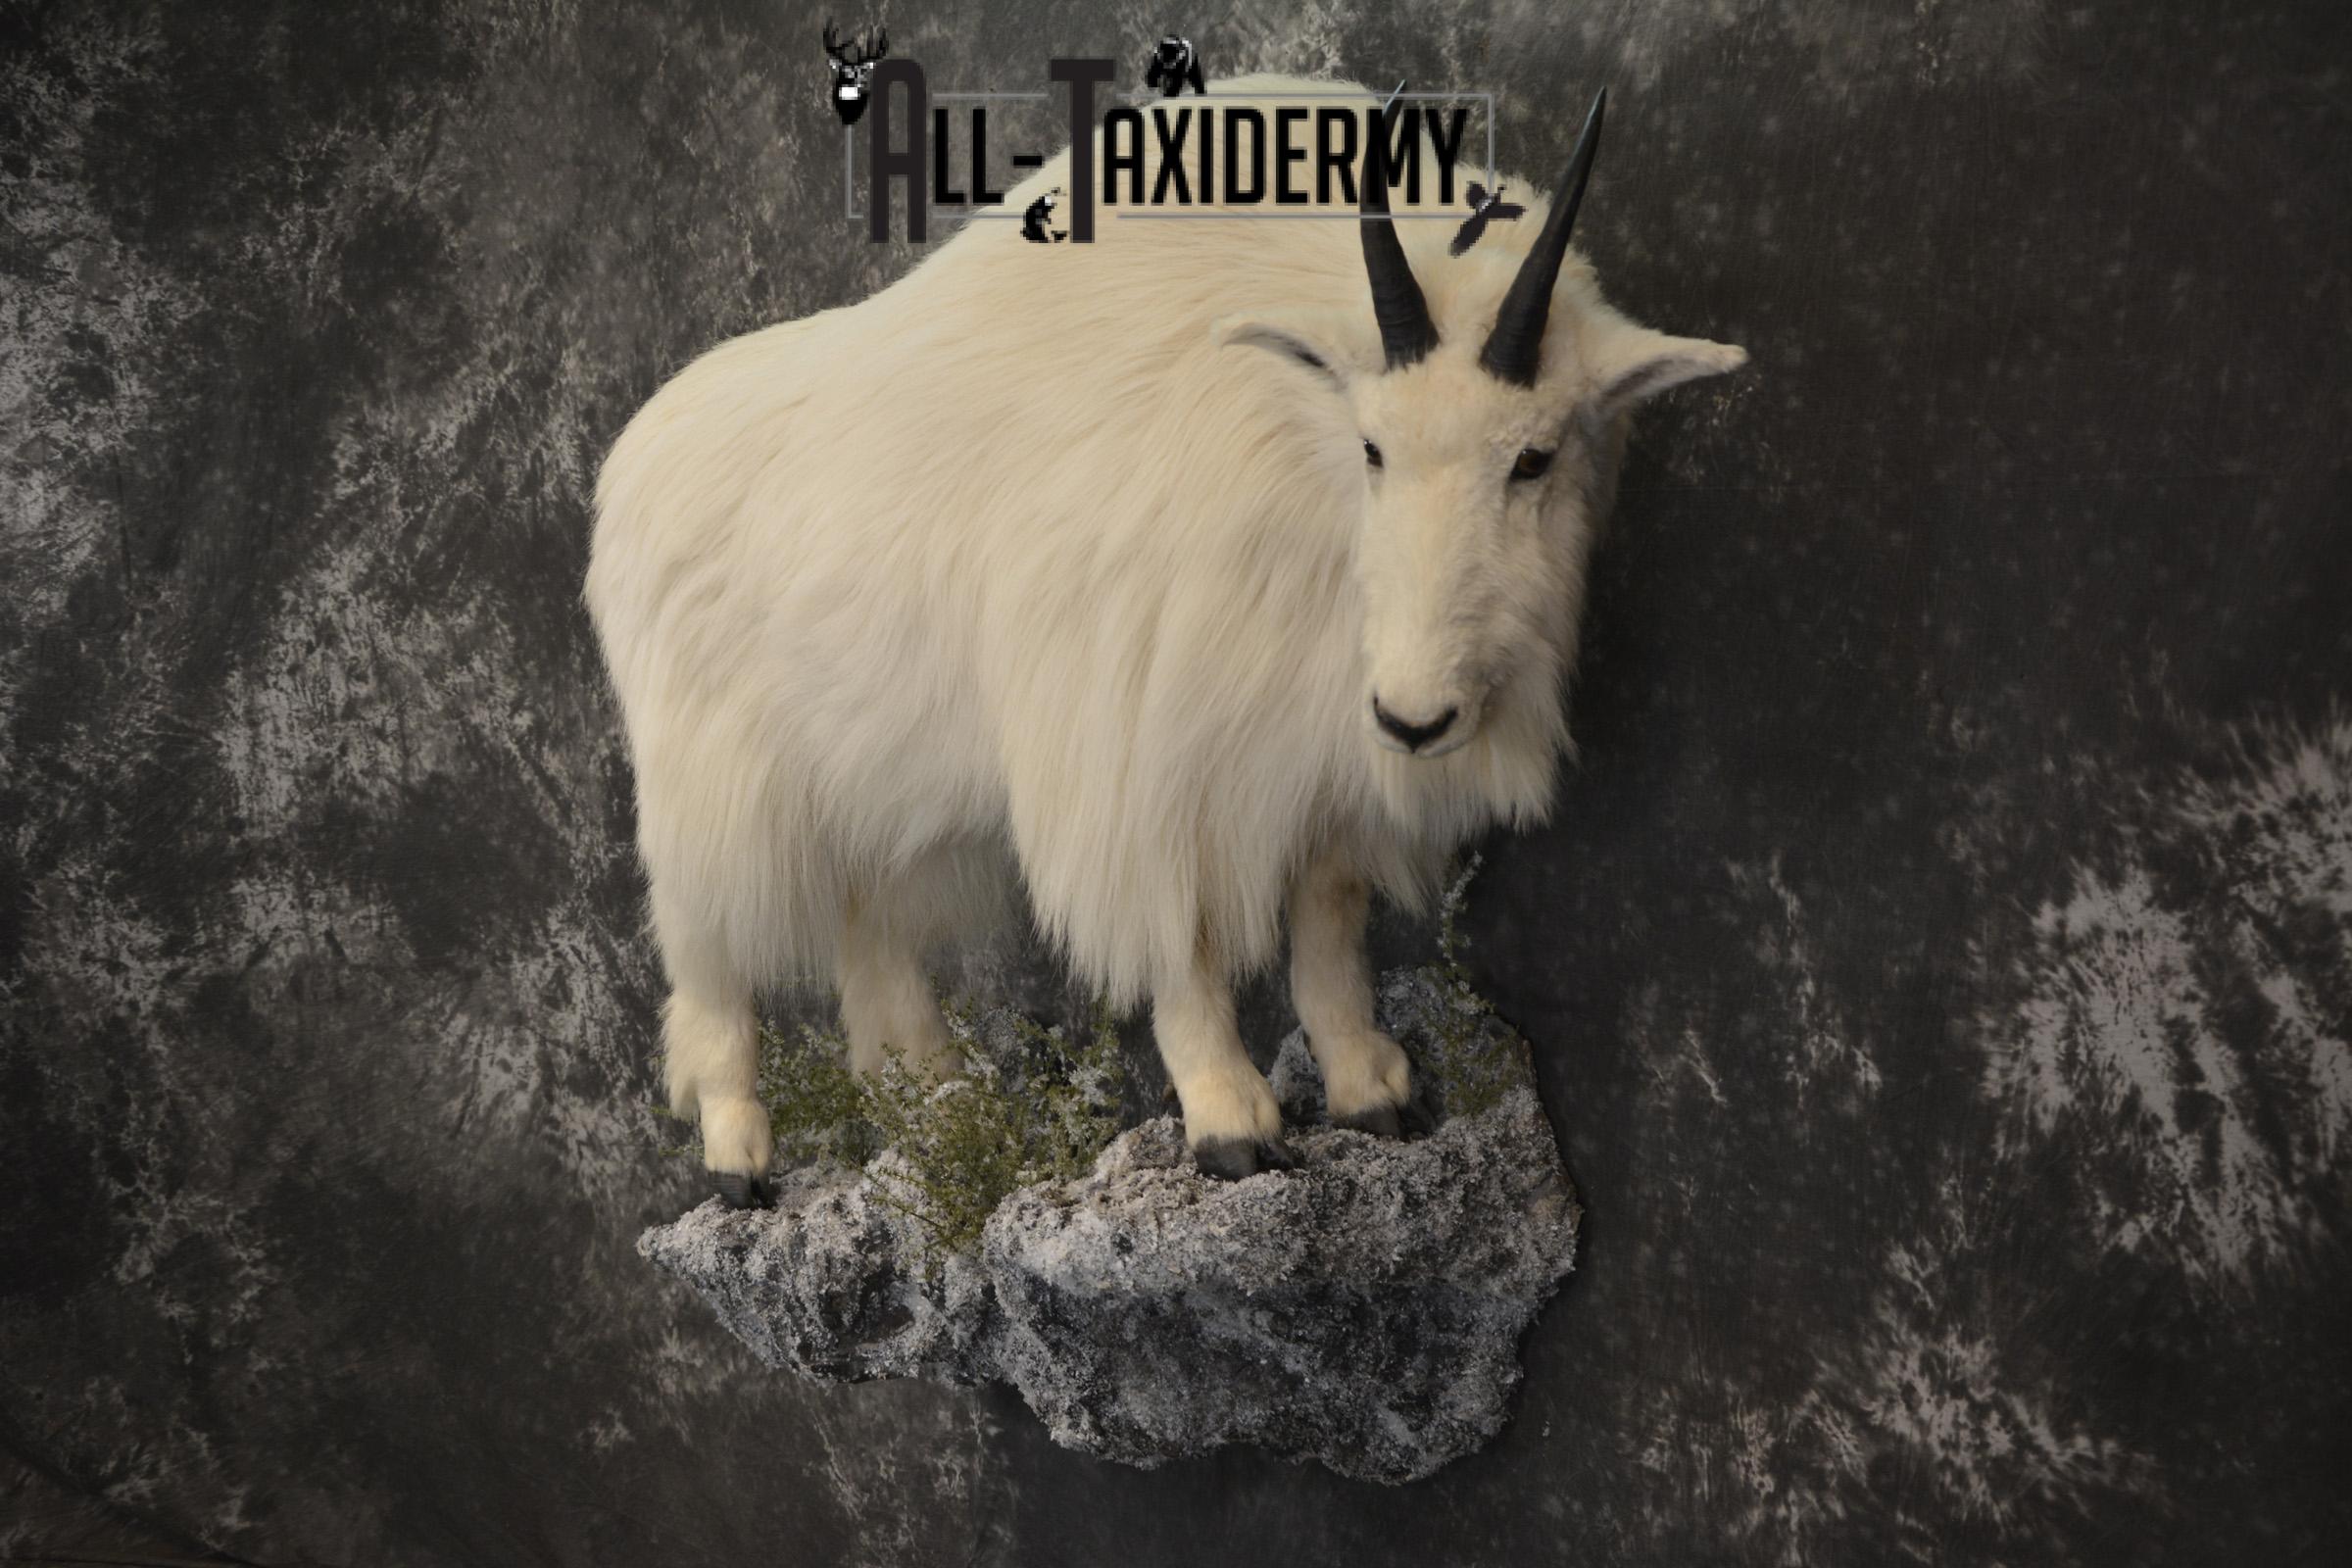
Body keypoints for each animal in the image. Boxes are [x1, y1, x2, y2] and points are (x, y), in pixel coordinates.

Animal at [587, 76, 1747, 1205]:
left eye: (1535, 457)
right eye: (1373, 445)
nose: (1416, 716)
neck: (1295, 448)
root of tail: (628, 468)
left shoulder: (1320, 756)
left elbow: (1329, 928)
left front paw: (1371, 1091)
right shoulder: (1139, 753)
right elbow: (1177, 942)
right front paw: (1233, 1124)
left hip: (864, 795)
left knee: (869, 943)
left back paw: (940, 1110)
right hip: (709, 794)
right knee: (707, 967)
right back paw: (740, 1153)